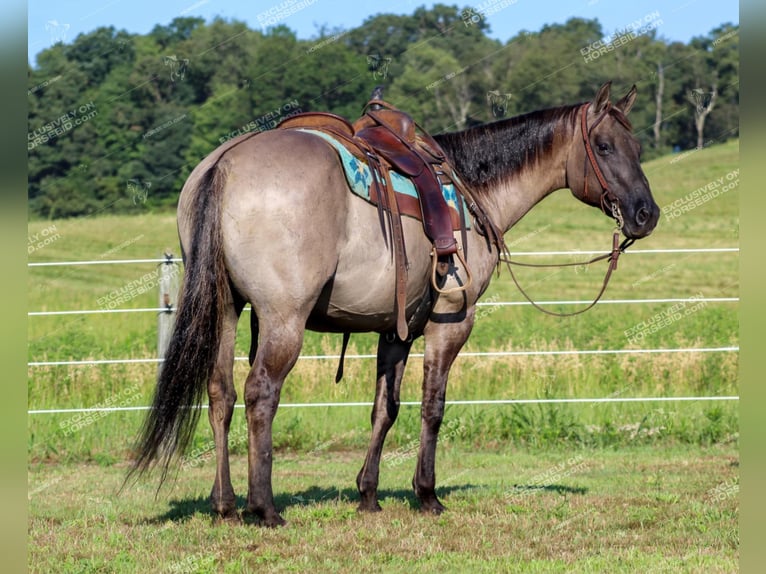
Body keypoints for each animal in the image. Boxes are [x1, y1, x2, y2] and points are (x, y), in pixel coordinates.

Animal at [126, 81, 660, 528]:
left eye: (637, 148)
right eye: (605, 147)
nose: (646, 213)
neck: (471, 189)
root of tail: (226, 163)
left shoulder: (394, 328)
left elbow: (386, 408)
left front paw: (368, 494)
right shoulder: (451, 323)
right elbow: (432, 407)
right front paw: (427, 494)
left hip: (226, 309)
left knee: (222, 394)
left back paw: (225, 506)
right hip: (282, 320)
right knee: (261, 393)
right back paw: (265, 508)